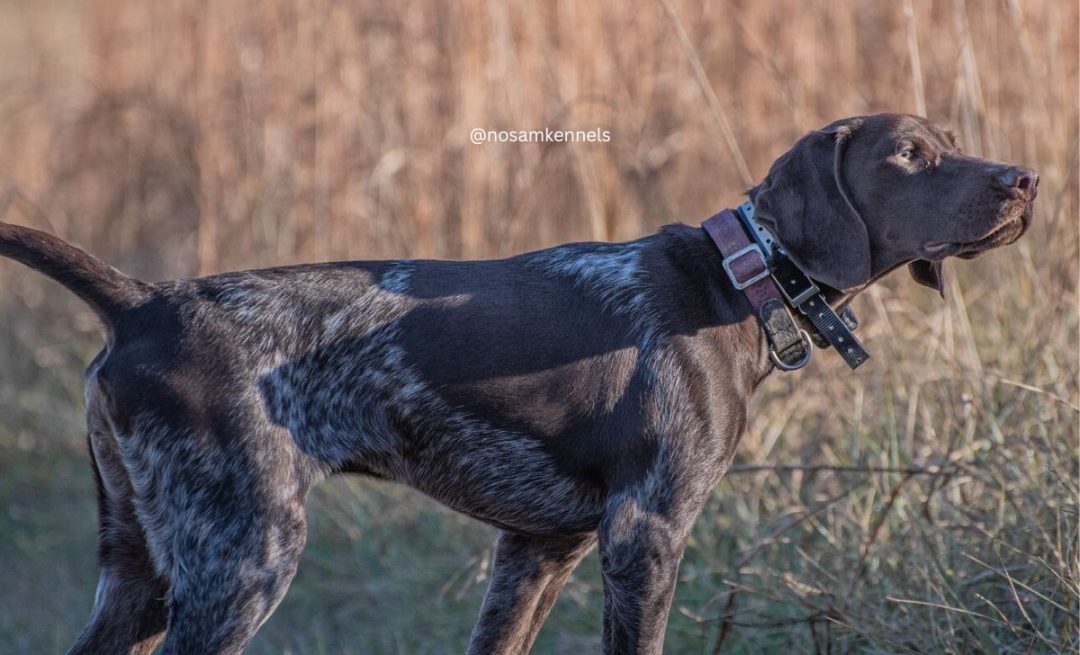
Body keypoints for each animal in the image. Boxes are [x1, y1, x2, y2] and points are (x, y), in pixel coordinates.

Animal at [0, 112, 1032, 652]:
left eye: (950, 140)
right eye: (910, 154)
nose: (1023, 179)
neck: (739, 281)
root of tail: (144, 301)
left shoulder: (538, 548)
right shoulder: (645, 533)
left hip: (141, 569)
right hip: (242, 557)